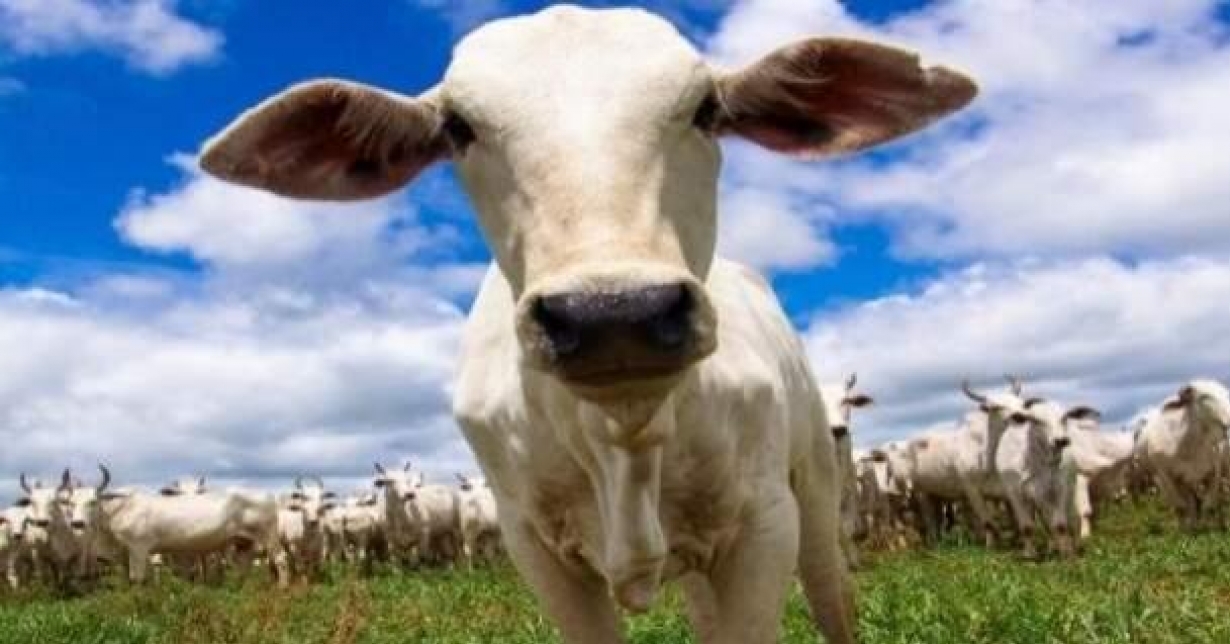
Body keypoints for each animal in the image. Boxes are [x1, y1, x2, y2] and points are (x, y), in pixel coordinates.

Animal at [200, 7, 975, 642]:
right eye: (458, 128)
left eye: (706, 108)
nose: (615, 312)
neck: (623, 432)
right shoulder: (536, 548)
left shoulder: (764, 526)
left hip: (814, 486)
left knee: (832, 598)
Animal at [1135, 380, 1230, 530]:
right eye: (1205, 397)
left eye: (1226, 394)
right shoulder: (1166, 477)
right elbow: (1181, 507)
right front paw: (1187, 530)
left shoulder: (1214, 472)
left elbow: (1208, 505)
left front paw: (1206, 527)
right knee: (1189, 503)